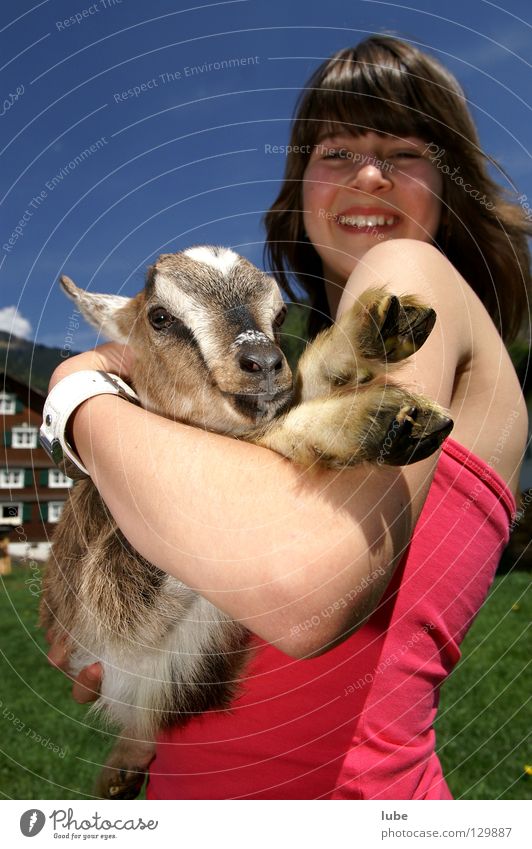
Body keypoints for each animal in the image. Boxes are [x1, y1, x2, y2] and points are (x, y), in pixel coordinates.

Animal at [39, 243, 450, 796]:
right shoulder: (115, 619)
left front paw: (380, 332)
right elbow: (262, 434)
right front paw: (377, 420)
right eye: (160, 316)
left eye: (278, 315)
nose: (264, 363)